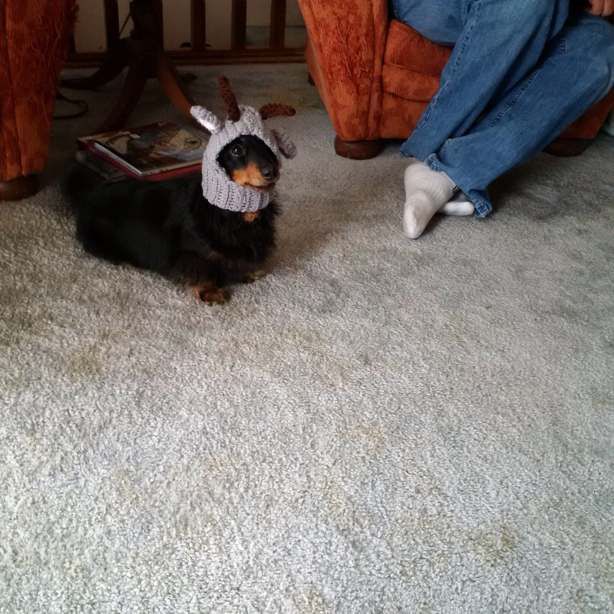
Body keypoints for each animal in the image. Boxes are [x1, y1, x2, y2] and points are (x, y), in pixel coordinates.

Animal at [64, 77, 296, 306]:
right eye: (236, 149)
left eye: (271, 147)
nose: (271, 172)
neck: (235, 213)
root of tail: (91, 196)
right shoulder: (193, 253)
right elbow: (201, 268)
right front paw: (209, 291)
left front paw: (247, 272)